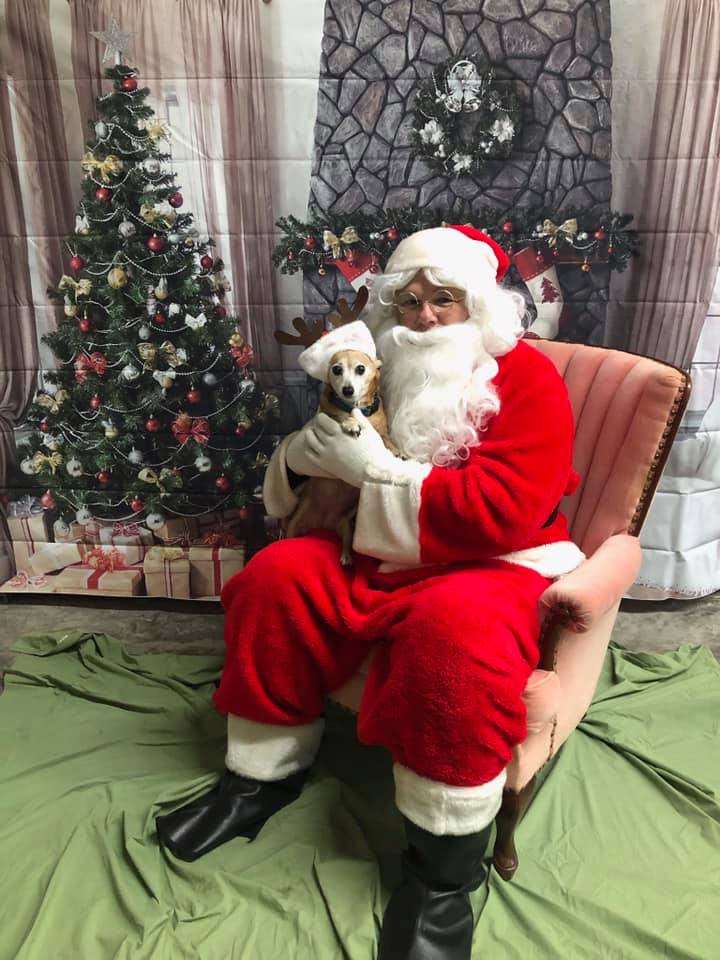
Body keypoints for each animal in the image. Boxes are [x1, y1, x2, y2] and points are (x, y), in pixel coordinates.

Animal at [284, 348, 398, 566]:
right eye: (336, 369)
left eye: (360, 369)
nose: (347, 389)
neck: (359, 409)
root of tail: (323, 524)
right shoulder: (330, 416)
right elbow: (341, 417)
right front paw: (351, 423)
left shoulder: (380, 428)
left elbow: (385, 437)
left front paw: (395, 449)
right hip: (297, 518)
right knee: (289, 533)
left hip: (345, 524)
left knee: (345, 540)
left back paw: (346, 556)